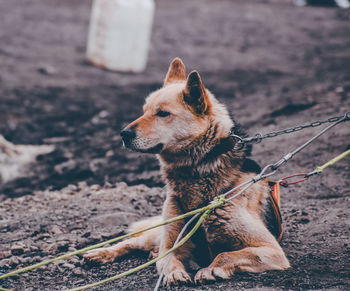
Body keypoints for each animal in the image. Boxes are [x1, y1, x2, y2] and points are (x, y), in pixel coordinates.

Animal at [84, 58, 290, 286]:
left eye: (162, 113)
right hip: (158, 233)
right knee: (132, 242)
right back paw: (102, 253)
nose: (123, 134)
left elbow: (224, 254)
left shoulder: (271, 250)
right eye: (144, 110)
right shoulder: (170, 245)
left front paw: (210, 269)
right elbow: (170, 259)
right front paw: (174, 273)